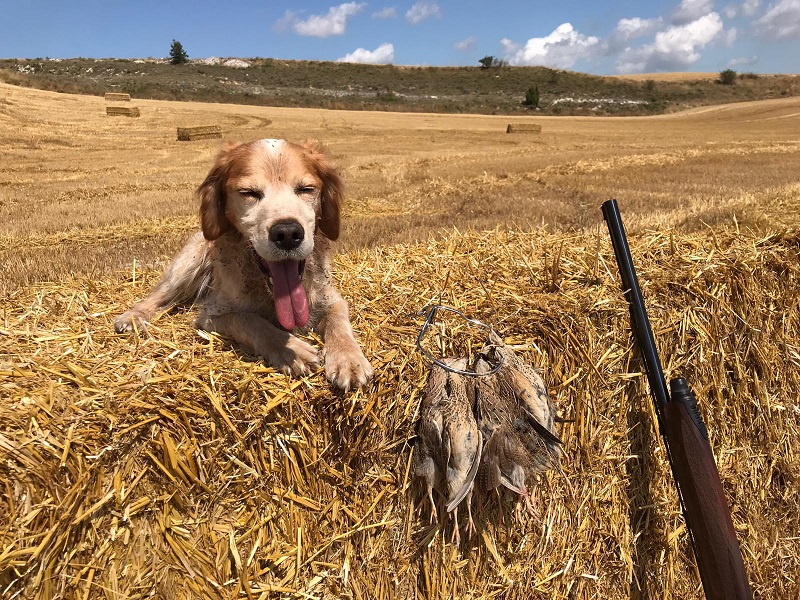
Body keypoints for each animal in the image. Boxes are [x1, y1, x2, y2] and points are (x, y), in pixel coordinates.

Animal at [115, 138, 376, 392]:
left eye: (306, 189)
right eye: (248, 192)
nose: (287, 233)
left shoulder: (331, 298)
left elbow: (338, 322)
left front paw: (348, 359)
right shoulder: (212, 315)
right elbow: (251, 320)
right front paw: (292, 350)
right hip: (189, 264)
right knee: (159, 297)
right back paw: (132, 318)